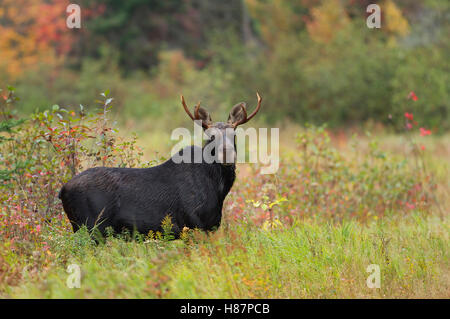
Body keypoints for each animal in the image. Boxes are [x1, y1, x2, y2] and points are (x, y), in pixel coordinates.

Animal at [58, 92, 262, 238]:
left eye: (234, 135)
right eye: (210, 136)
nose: (227, 154)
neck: (219, 190)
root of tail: (62, 190)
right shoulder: (194, 224)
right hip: (90, 226)